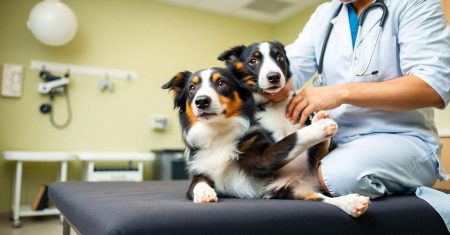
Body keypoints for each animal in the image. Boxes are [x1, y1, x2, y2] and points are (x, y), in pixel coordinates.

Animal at [162, 66, 370, 217]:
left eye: (221, 83)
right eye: (192, 88)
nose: (201, 101)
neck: (218, 132)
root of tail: (306, 178)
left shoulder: (261, 160)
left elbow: (290, 139)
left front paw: (317, 128)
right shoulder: (201, 169)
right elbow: (196, 183)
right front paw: (204, 193)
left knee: (318, 156)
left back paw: (321, 121)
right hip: (289, 191)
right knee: (320, 198)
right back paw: (351, 203)